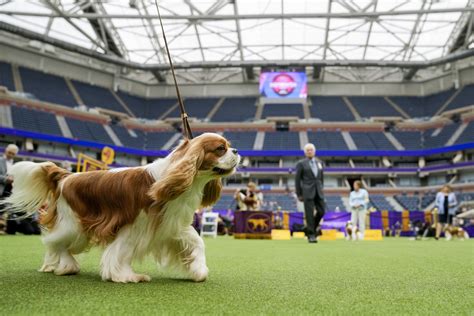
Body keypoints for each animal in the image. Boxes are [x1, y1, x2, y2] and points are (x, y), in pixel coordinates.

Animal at [3, 133, 239, 284]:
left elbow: (197, 242)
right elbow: (121, 251)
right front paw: (126, 276)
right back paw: (67, 266)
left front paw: (198, 270)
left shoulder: (171, 225)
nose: (236, 150)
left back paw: (56, 266)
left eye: (229, 145)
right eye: (220, 149)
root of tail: (67, 176)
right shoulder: (134, 226)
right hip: (74, 225)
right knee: (55, 242)